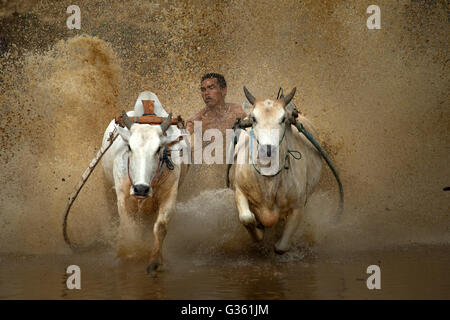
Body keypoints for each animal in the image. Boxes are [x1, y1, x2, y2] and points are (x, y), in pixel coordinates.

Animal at [101, 90, 187, 272]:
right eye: (129, 147)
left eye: (159, 149)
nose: (141, 189)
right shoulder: (122, 197)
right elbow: (128, 227)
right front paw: (126, 254)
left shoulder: (170, 195)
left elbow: (160, 227)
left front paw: (155, 261)